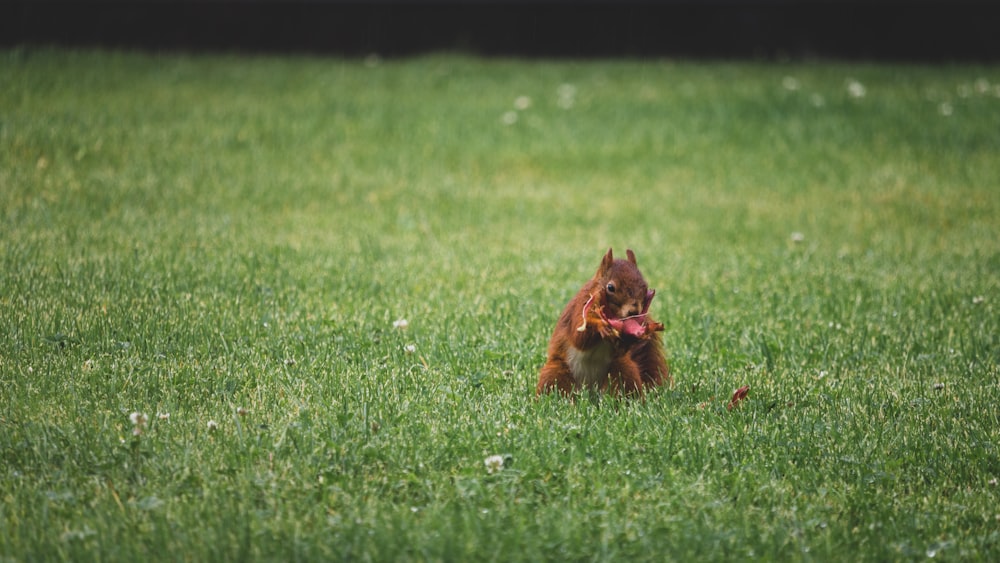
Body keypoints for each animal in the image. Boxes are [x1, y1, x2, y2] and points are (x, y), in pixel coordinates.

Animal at [536, 249, 668, 398]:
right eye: (610, 287)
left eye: (645, 287)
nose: (634, 312)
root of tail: (589, 390)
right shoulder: (580, 308)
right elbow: (578, 337)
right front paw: (601, 326)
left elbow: (622, 348)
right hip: (555, 374)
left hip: (623, 370)